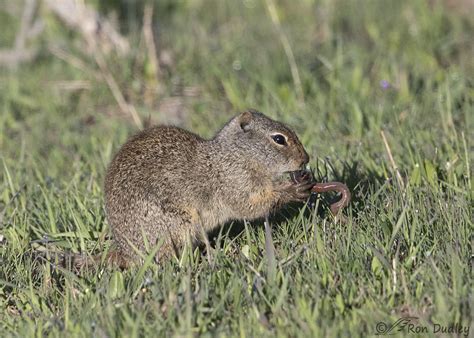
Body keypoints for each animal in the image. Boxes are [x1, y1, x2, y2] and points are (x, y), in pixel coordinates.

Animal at [103, 109, 314, 266]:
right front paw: (292, 190)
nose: (306, 158)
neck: (236, 156)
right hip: (180, 224)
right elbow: (251, 206)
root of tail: (126, 253)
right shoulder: (236, 184)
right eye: (279, 139)